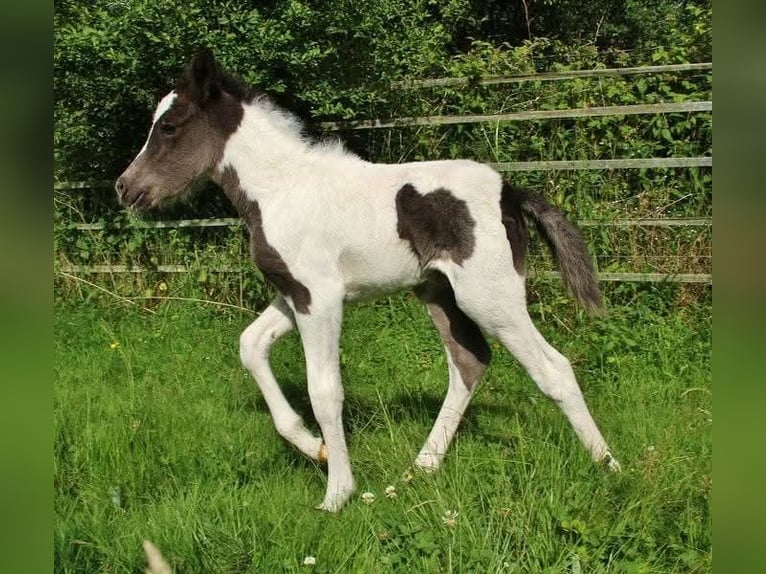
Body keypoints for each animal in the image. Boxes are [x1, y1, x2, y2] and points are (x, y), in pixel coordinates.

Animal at [116, 48, 620, 512]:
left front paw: (337, 493)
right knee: (469, 362)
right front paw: (311, 446)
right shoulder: (294, 294)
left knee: (553, 368)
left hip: (491, 297)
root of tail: (509, 193)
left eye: (169, 127)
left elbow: (324, 390)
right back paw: (419, 471)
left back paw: (609, 467)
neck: (281, 189)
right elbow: (250, 345)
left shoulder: (320, 298)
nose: (125, 187)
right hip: (438, 292)